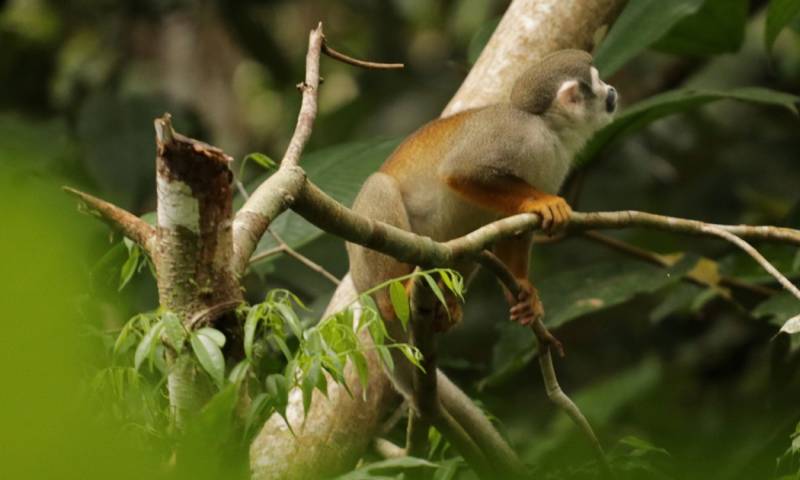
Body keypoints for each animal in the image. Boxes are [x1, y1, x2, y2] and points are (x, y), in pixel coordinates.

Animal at [346, 48, 620, 458]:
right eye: (599, 81)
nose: (613, 90)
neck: (549, 130)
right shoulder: (513, 132)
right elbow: (461, 172)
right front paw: (540, 201)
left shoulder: (556, 162)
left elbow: (516, 227)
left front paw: (523, 292)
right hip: (368, 263)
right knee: (382, 188)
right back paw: (399, 294)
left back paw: (446, 306)